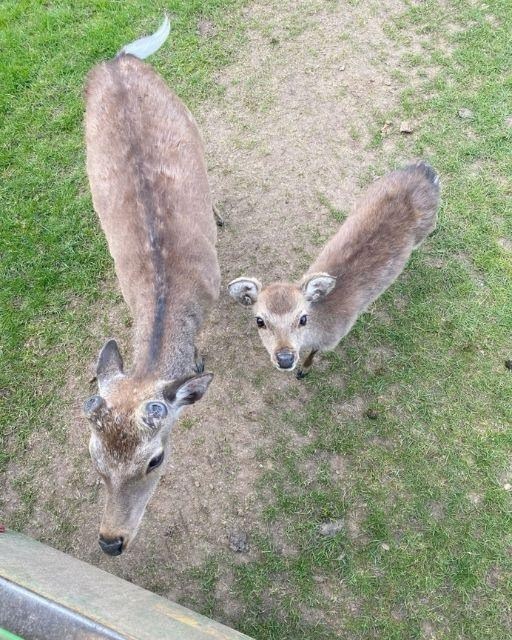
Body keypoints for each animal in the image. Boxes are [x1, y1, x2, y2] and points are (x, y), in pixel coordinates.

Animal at [228, 162, 440, 378]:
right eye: (259, 321)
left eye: (303, 318)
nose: (285, 359)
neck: (323, 324)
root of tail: (424, 169)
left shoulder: (334, 338)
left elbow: (315, 352)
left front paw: (304, 370)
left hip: (428, 225)